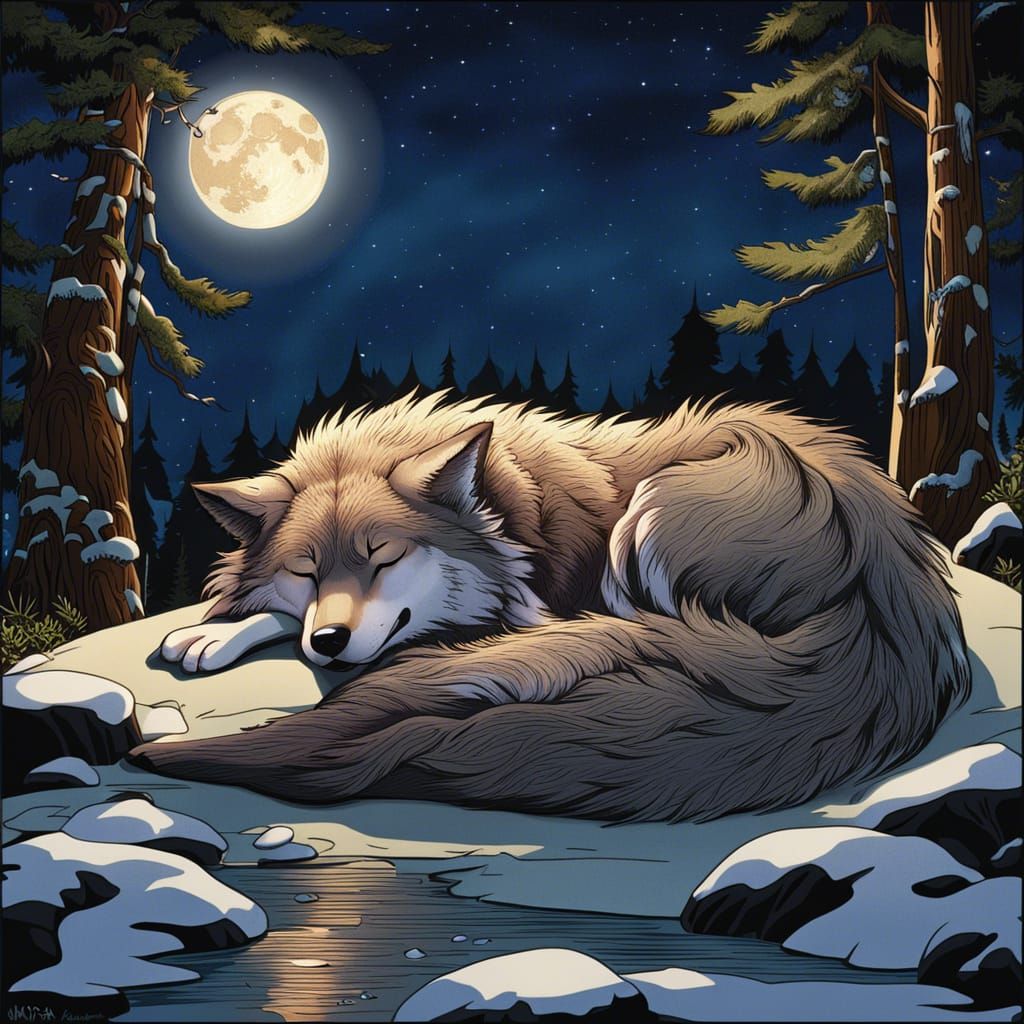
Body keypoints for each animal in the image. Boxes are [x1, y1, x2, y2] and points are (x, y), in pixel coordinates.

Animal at [129, 392, 970, 822]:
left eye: (383, 559)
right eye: (305, 571)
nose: (331, 641)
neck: (512, 513)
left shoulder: (533, 608)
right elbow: (261, 610)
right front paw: (210, 633)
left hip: (654, 512)